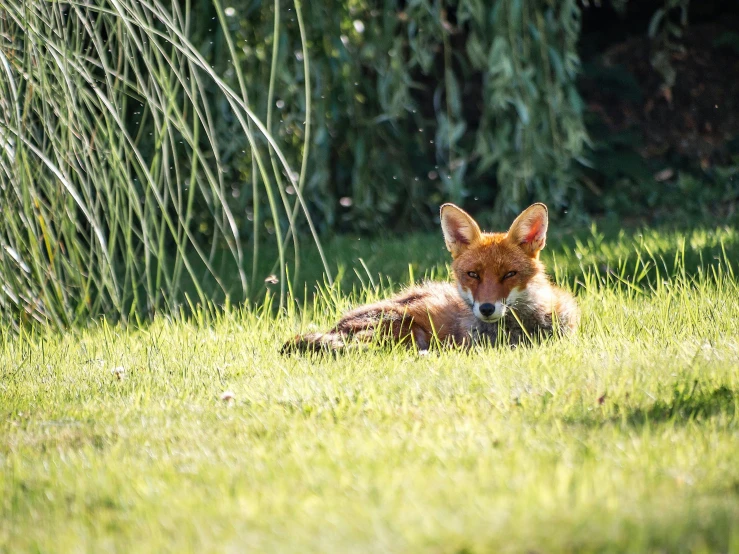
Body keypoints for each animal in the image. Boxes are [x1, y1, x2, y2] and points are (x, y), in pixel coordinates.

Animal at [284, 201, 580, 352]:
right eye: (473, 274)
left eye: (509, 274)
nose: (486, 308)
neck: (522, 328)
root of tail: (335, 327)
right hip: (405, 327)